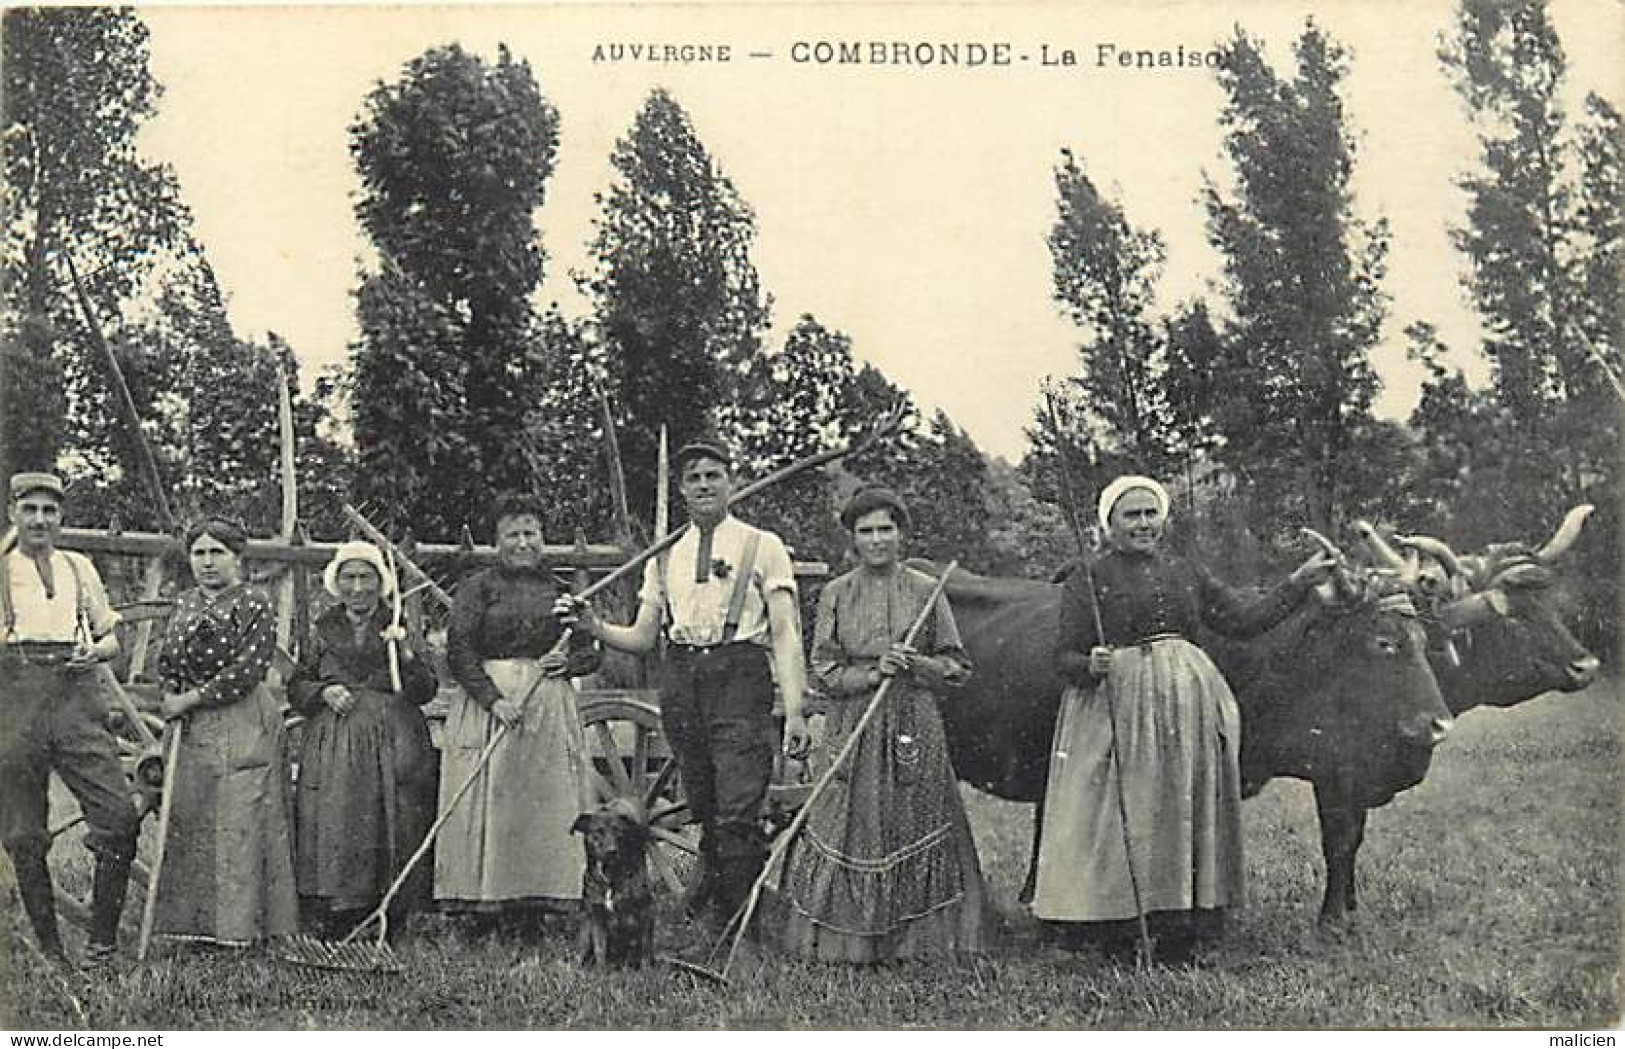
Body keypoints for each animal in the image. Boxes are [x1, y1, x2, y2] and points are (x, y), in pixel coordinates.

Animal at [568, 805, 650, 967]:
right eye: (597, 832)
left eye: (618, 831)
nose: (611, 851)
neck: (609, 876)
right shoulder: (597, 918)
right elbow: (600, 951)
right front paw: (601, 971)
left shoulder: (644, 912)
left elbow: (645, 951)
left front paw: (647, 970)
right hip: (585, 930)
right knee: (580, 954)